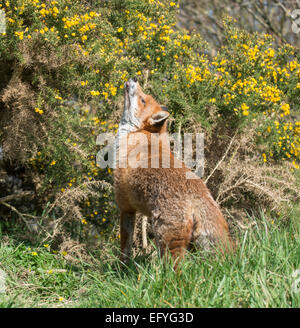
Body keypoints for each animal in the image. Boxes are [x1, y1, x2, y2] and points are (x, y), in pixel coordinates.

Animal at [113, 78, 233, 268]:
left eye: (143, 100)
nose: (134, 79)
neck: (138, 134)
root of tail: (197, 195)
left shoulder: (126, 208)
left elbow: (125, 249)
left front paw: (121, 269)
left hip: (167, 239)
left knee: (177, 268)